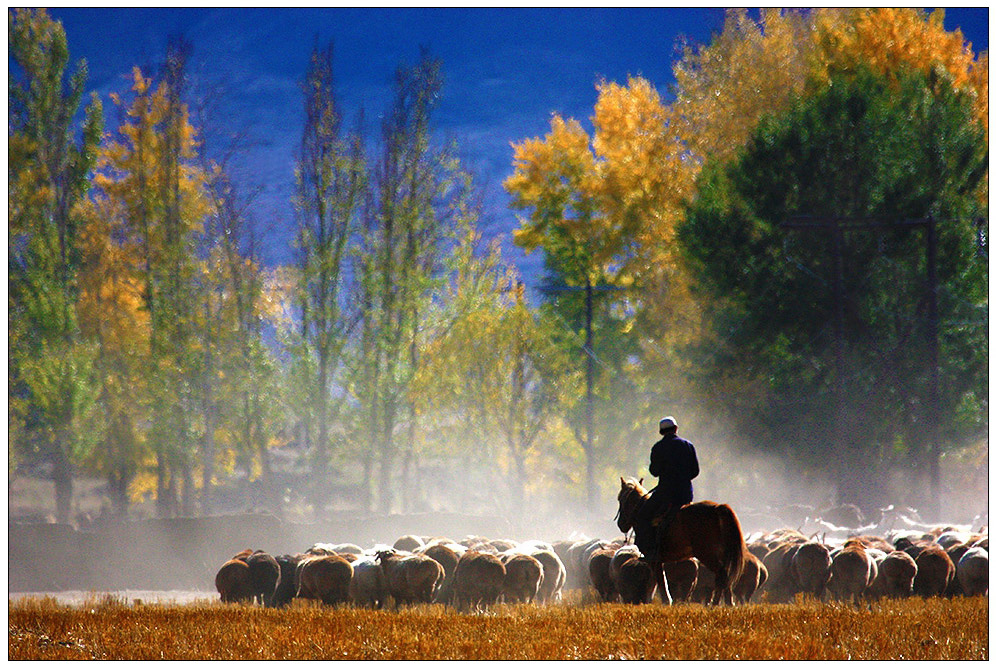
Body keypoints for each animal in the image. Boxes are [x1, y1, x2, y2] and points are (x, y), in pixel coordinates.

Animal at [616, 474, 748, 604]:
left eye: (620, 499)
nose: (621, 524)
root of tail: (717, 508)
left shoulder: (654, 560)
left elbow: (660, 582)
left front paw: (666, 602)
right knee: (726, 577)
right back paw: (727, 603)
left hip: (706, 554)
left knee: (722, 574)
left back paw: (716, 603)